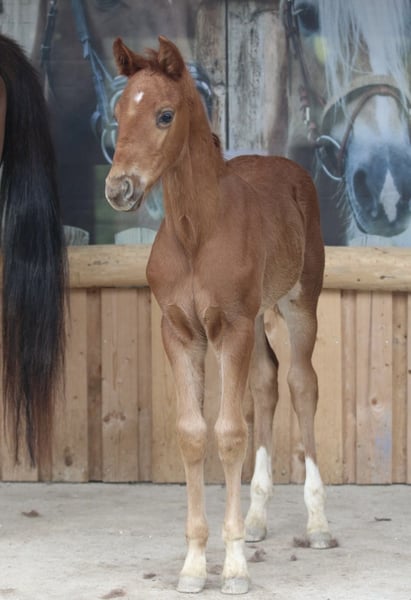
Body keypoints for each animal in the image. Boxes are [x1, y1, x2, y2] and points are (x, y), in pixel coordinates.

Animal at [105, 36, 335, 594]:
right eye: (118, 113)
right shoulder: (180, 331)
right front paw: (194, 565)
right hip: (261, 316)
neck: (196, 232)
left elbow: (229, 434)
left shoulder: (230, 328)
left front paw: (232, 568)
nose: (119, 189)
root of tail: (289, 169)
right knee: (267, 386)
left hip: (298, 304)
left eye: (165, 115)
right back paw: (256, 519)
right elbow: (193, 433)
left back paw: (318, 524)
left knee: (301, 385)